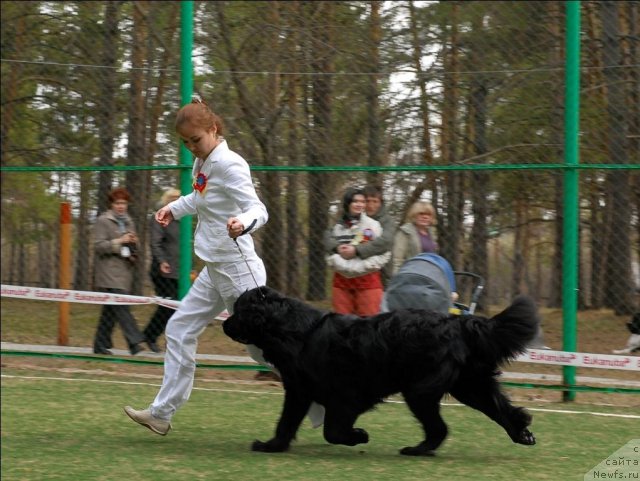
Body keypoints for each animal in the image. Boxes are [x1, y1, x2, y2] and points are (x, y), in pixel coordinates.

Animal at [225, 286, 540, 456]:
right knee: (502, 409)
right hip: (469, 385)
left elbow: (333, 431)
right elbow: (286, 423)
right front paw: (272, 445)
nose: (225, 323)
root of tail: (458, 322)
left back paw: (417, 450)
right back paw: (522, 434)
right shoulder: (298, 392)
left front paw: (358, 436)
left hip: (420, 391)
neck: (295, 332)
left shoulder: (344, 396)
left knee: (440, 427)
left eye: (238, 311)